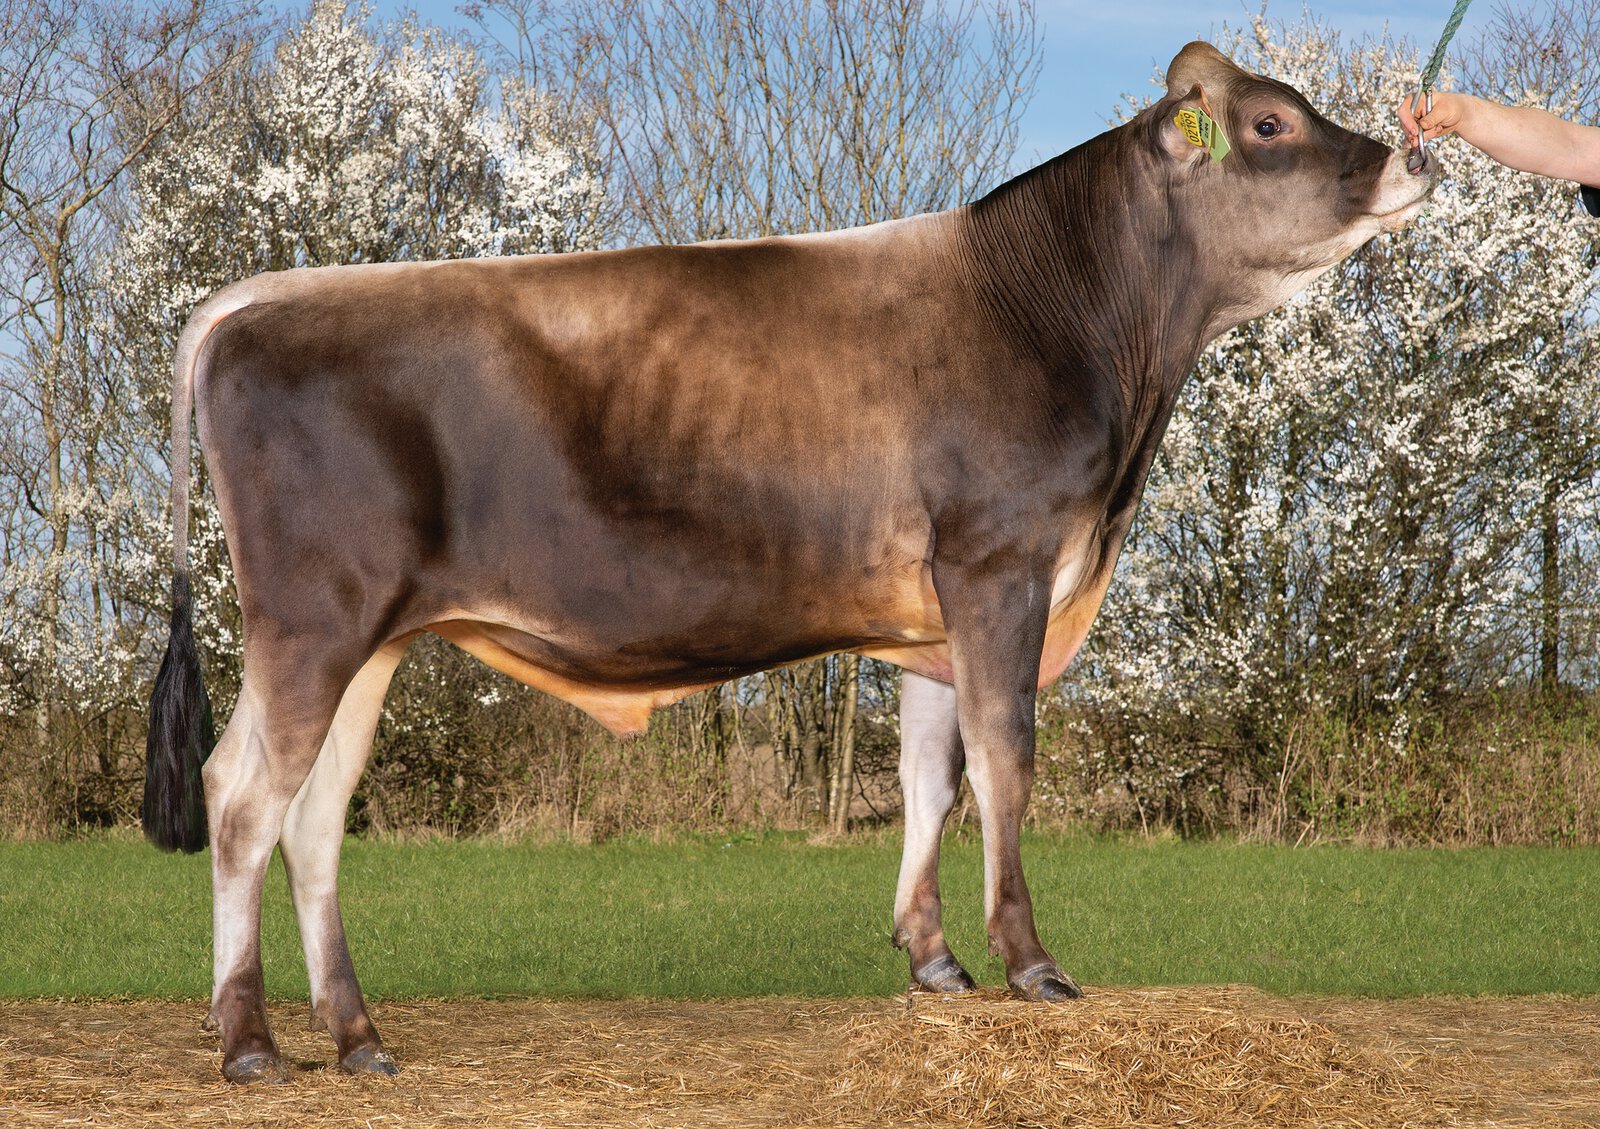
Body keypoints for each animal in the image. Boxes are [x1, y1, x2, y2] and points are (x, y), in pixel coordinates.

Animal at [143, 41, 1437, 1083]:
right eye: (1268, 125)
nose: (1408, 159)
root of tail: (259, 298)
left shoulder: (929, 615)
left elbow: (931, 776)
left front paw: (934, 961)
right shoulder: (1000, 565)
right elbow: (1005, 762)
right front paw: (1030, 964)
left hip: (376, 638)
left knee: (314, 816)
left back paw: (357, 1037)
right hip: (312, 620)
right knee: (242, 797)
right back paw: (249, 1043)